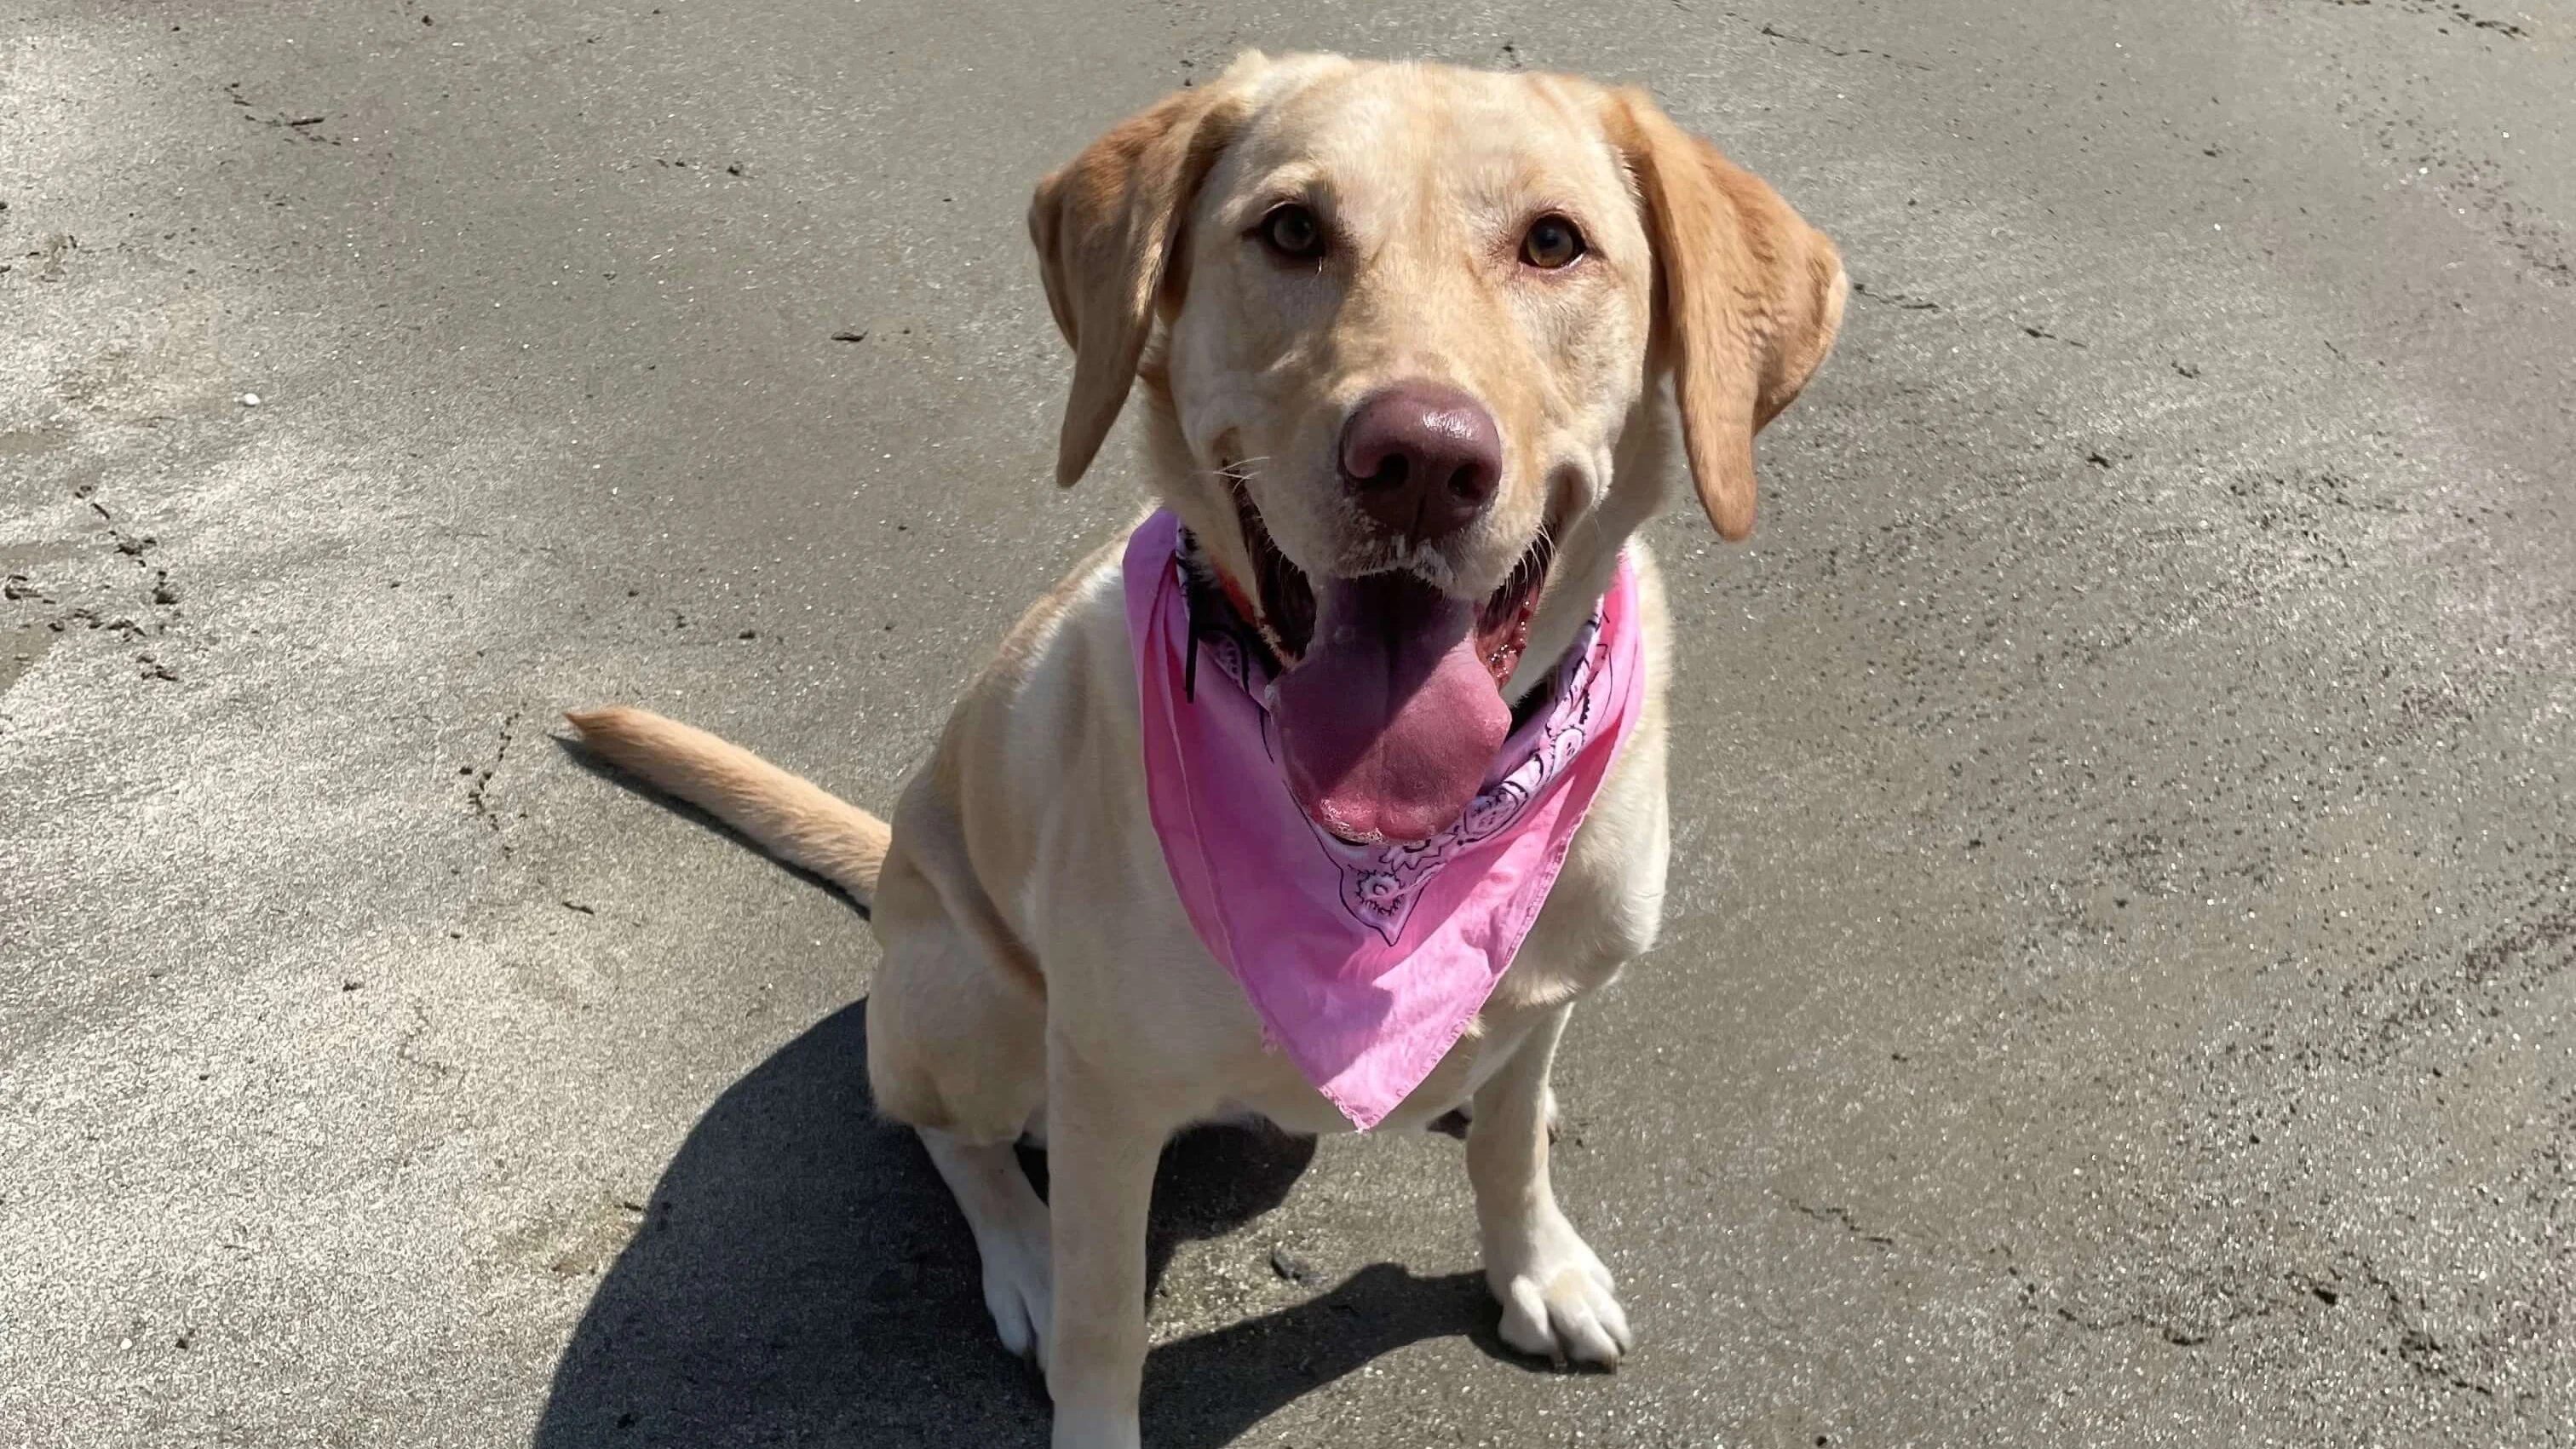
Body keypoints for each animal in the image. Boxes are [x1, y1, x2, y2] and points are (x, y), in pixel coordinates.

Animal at [574, 48, 1844, 1443]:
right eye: (1290, 230)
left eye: (1554, 243)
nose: (1418, 461)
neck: (1400, 854)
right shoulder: (1108, 1096)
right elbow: (1102, 1323)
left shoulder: (1550, 991)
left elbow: (1512, 1146)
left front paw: (1535, 1266)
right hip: (975, 1007)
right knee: (942, 1128)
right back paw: (1020, 1247)